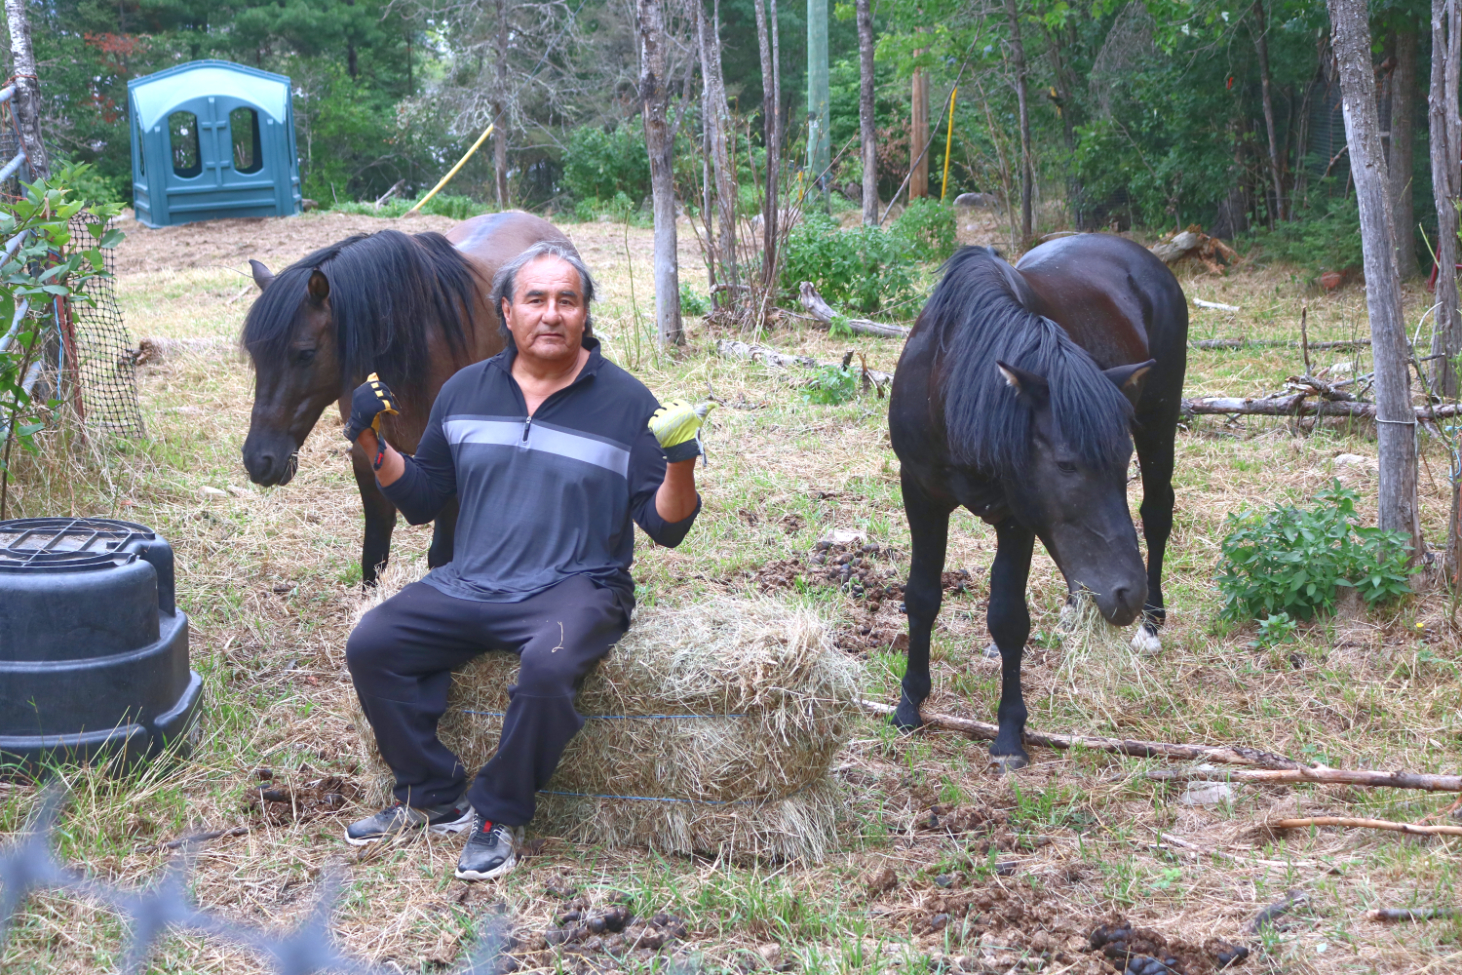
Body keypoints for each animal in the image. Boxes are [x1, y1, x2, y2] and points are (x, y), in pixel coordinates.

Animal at [241, 211, 575, 585]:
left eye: (306, 353)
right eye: (255, 354)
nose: (259, 461)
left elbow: (440, 555)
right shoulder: (368, 456)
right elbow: (374, 556)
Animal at [888, 235, 1188, 769]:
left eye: (1120, 462)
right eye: (1066, 465)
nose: (1126, 595)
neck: (951, 387)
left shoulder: (1016, 518)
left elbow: (1008, 619)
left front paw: (1009, 734)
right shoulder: (920, 492)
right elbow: (921, 597)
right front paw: (909, 706)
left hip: (1159, 421)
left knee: (1156, 514)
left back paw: (1151, 627)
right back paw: (1079, 608)